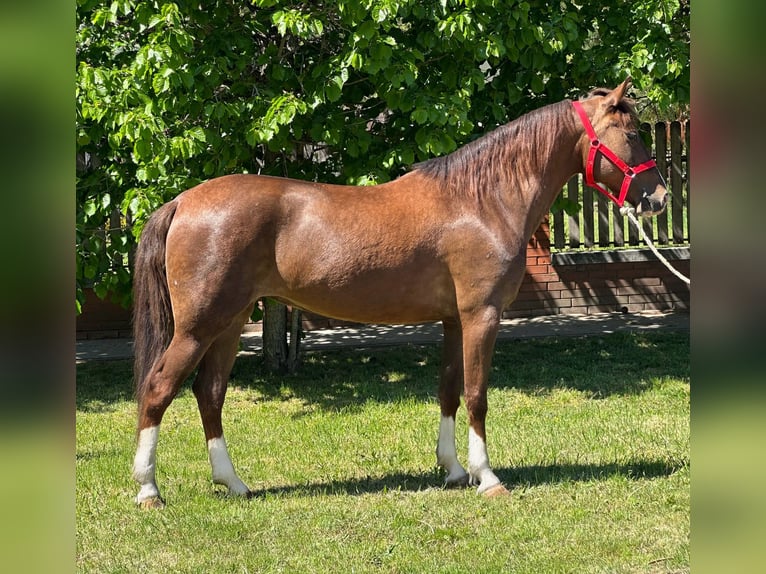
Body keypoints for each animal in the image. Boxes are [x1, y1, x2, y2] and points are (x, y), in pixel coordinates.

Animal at [131, 78, 667, 507]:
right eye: (633, 134)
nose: (659, 198)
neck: (481, 201)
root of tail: (183, 202)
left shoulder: (454, 320)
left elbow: (449, 389)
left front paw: (453, 470)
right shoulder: (482, 316)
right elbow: (477, 395)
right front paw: (488, 478)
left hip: (230, 323)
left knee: (209, 393)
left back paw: (234, 484)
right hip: (199, 327)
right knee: (159, 389)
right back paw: (148, 490)